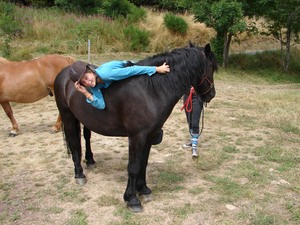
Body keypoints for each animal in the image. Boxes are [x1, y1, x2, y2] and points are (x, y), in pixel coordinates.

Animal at [54, 41, 218, 211]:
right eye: (212, 67)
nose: (211, 95)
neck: (150, 89)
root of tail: (64, 72)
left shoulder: (149, 135)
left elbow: (143, 164)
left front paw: (143, 190)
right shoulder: (137, 136)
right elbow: (133, 167)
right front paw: (132, 199)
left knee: (86, 137)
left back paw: (90, 161)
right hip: (68, 116)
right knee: (74, 144)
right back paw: (79, 174)